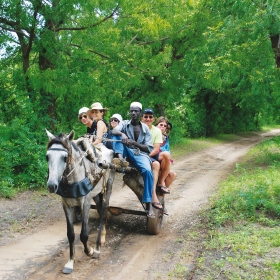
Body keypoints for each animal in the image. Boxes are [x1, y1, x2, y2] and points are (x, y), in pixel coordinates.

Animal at [45, 131, 114, 274]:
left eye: (65, 157)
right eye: (47, 157)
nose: (52, 185)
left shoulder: (85, 204)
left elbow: (83, 235)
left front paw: (90, 251)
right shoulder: (66, 205)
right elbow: (70, 234)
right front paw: (70, 262)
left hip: (108, 186)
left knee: (103, 213)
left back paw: (98, 245)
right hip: (96, 194)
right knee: (100, 210)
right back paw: (102, 236)